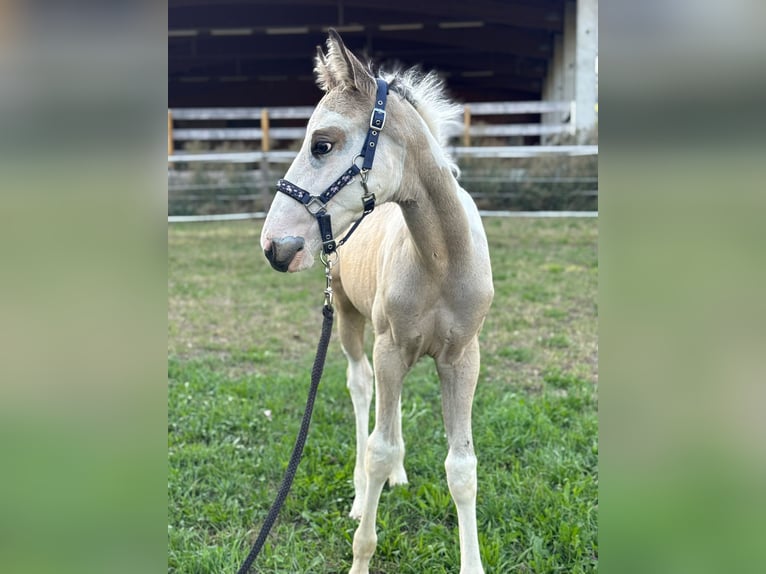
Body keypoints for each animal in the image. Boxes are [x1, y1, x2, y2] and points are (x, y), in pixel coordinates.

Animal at [260, 30, 494, 574]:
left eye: (322, 143)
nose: (275, 247)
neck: (441, 260)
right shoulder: (389, 346)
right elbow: (378, 448)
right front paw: (361, 554)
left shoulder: (462, 357)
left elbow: (462, 466)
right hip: (350, 321)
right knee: (361, 389)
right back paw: (359, 490)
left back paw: (397, 479)